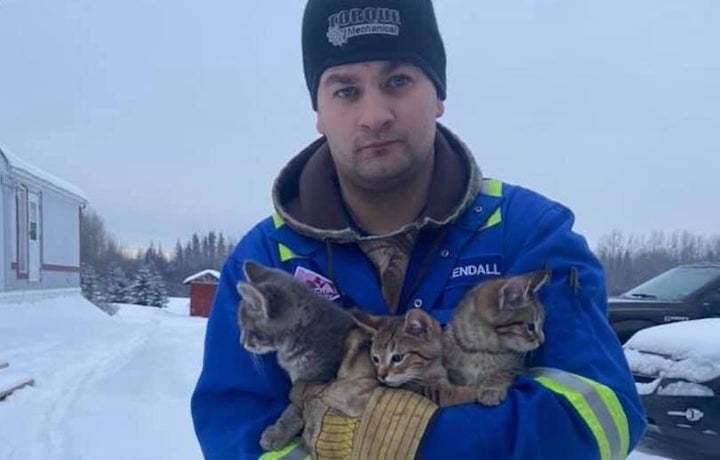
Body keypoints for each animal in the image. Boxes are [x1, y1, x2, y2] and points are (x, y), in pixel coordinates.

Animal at [352, 306, 480, 406]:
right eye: (376, 359)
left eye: (397, 358)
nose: (381, 376)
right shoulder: (431, 393)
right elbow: (452, 395)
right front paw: (476, 391)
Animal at [442, 270, 548, 406]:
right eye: (530, 326)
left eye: (541, 324)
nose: (542, 341)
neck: (481, 351)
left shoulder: (519, 368)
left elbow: (503, 373)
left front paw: (491, 388)